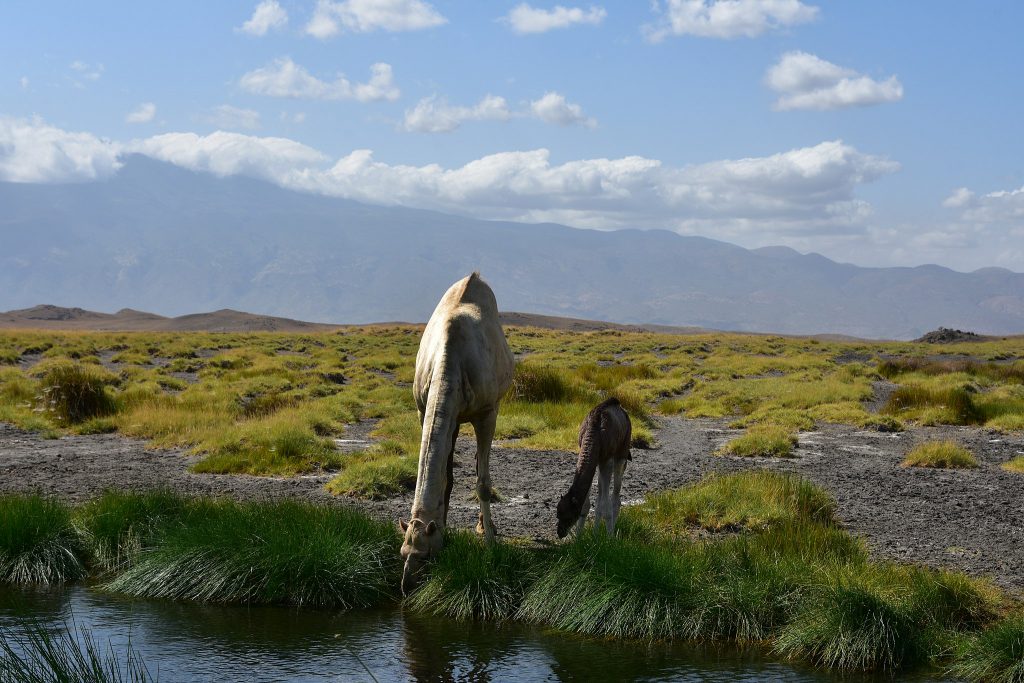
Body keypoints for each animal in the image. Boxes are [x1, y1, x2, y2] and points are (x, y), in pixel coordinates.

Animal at [399, 273, 514, 595]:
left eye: (426, 555)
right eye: (402, 551)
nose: (406, 586)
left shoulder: (486, 413)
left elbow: (483, 484)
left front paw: (490, 543)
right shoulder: (423, 409)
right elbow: (447, 479)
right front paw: (444, 526)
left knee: (481, 467)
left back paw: (485, 526)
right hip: (453, 419)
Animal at [556, 397, 632, 538]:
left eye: (569, 517)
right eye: (558, 514)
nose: (560, 533)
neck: (595, 433)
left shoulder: (607, 460)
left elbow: (606, 505)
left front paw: (609, 539)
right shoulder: (595, 460)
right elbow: (587, 504)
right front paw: (579, 538)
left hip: (622, 452)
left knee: (615, 497)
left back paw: (612, 533)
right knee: (600, 497)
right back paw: (596, 533)